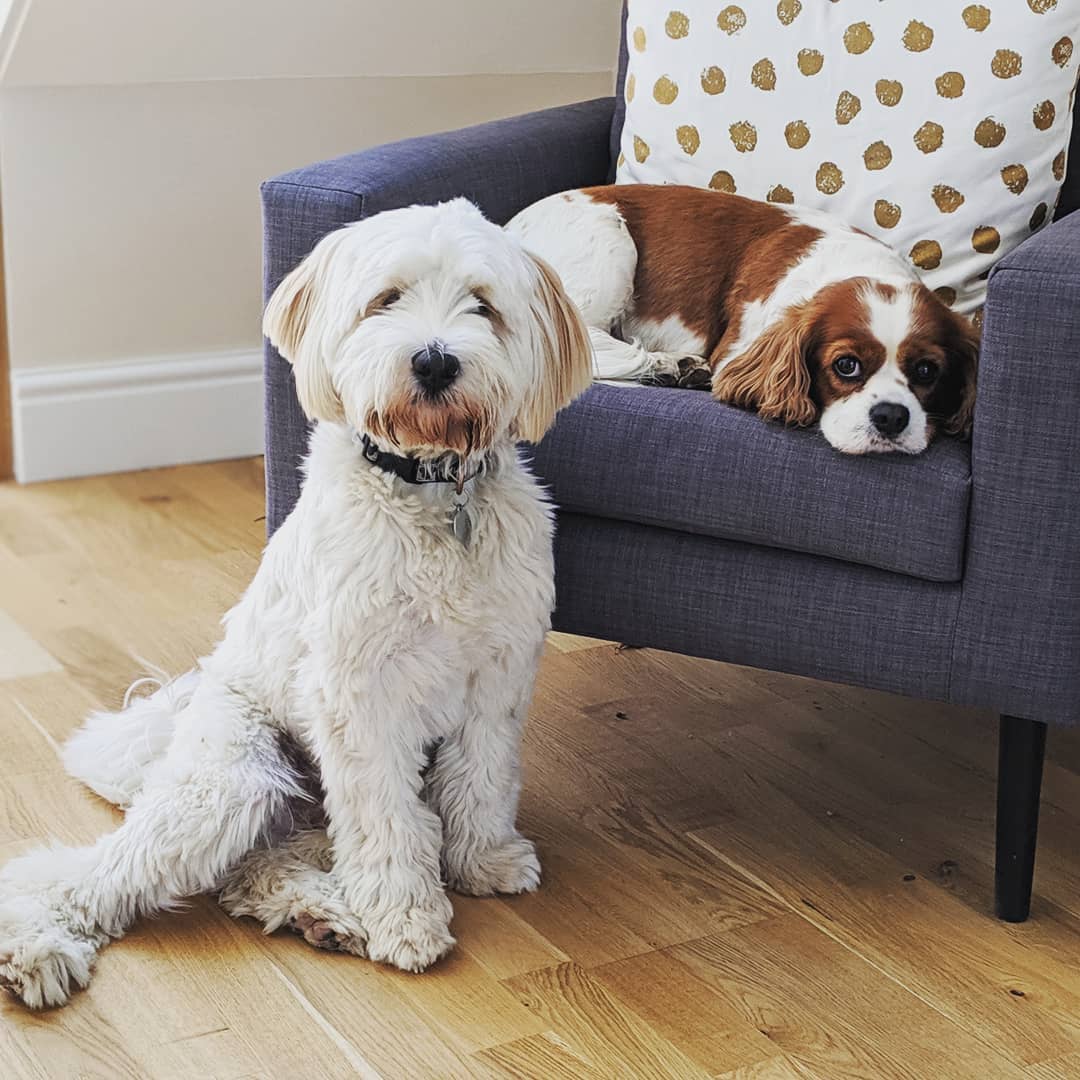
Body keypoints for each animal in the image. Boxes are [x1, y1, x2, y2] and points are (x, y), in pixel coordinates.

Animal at [0, 198, 591, 1006]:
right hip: (231, 783)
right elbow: (387, 819)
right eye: (387, 298)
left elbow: (482, 777)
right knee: (84, 876)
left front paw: (484, 860)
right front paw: (405, 918)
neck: (432, 493)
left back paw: (324, 914)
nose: (435, 361)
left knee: (251, 872)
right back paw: (35, 949)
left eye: (483, 305)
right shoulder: (360, 691)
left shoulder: (498, 672)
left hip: (294, 815)